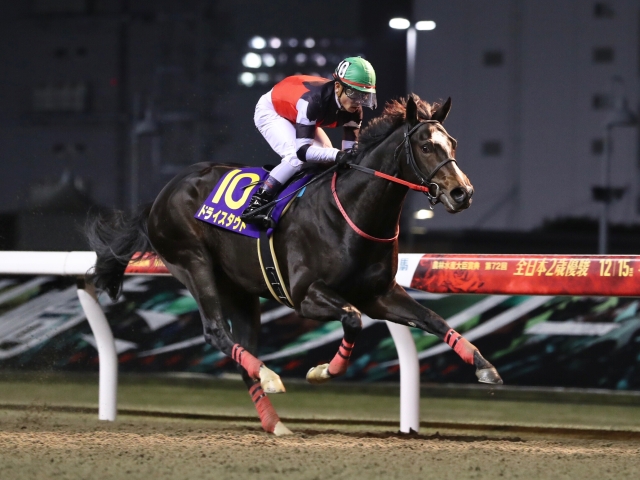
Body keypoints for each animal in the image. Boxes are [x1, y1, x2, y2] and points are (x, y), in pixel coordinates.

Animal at [87, 95, 502, 436]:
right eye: (425, 145)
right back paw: (270, 376)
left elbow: (434, 320)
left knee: (242, 349)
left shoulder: (380, 294)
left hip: (240, 290)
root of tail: (161, 195)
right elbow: (352, 319)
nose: (462, 193)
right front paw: (322, 371)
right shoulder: (306, 295)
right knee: (216, 331)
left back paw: (275, 421)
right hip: (193, 263)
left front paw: (484, 365)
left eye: (453, 143)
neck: (354, 210)